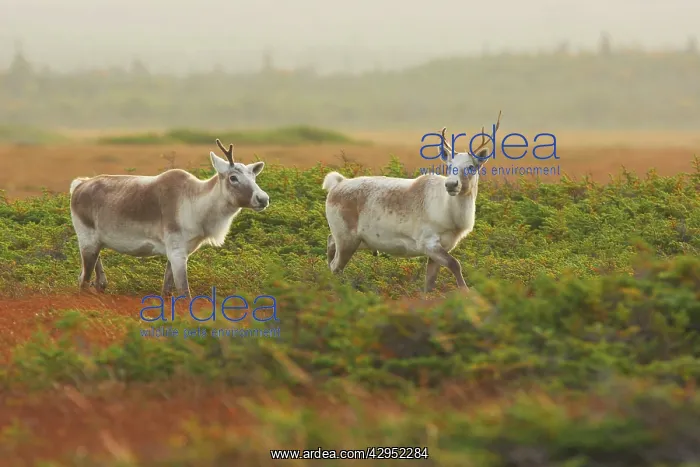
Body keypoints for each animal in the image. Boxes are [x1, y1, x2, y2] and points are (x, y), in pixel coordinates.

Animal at [69, 139, 269, 298]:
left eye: (254, 176)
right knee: (83, 282)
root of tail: (79, 185)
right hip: (87, 240)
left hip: (97, 243)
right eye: (233, 177)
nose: (263, 199)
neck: (195, 205)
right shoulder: (177, 252)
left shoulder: (178, 252)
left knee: (89, 277)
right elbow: (184, 292)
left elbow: (166, 290)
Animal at [322, 111, 501, 293]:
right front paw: (467, 293)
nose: (451, 184)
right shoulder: (427, 242)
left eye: (471, 167)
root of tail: (336, 185)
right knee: (335, 266)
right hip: (347, 239)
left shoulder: (442, 248)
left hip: (357, 241)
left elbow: (429, 284)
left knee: (330, 243)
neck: (449, 213)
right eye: (450, 166)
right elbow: (455, 264)